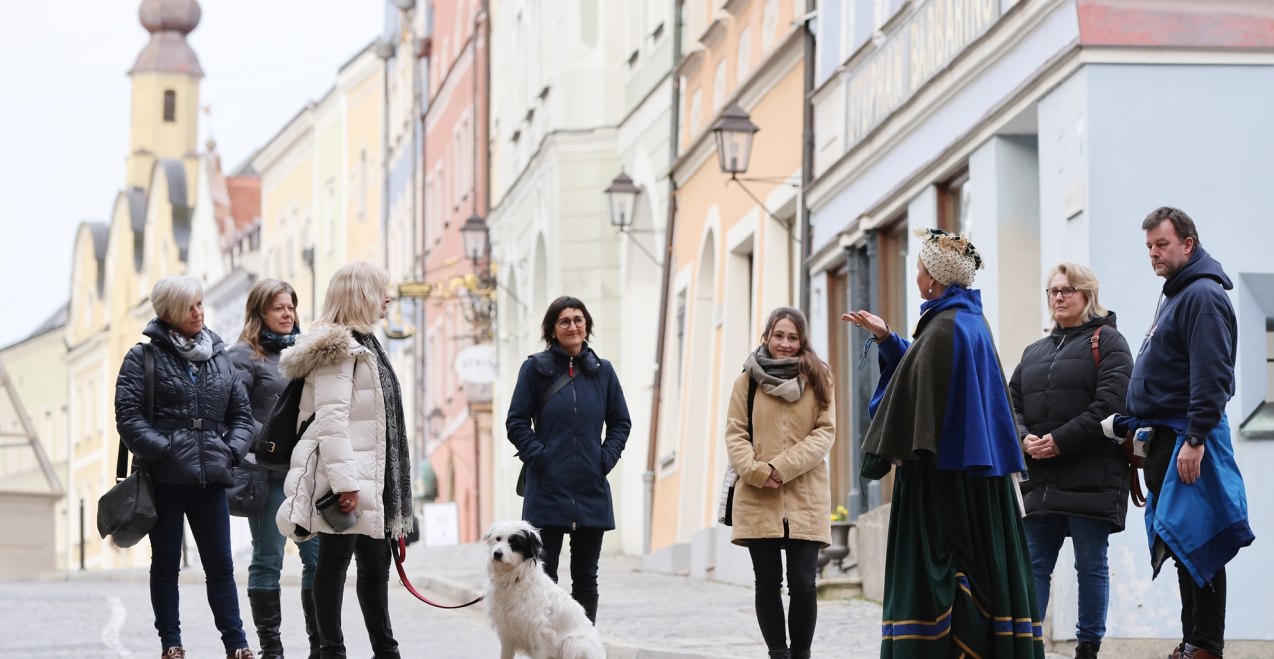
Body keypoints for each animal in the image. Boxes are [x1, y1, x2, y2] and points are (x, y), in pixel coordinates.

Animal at [484, 520, 608, 657]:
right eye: (498, 538)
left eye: (515, 542)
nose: (497, 554)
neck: (515, 579)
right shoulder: (507, 634)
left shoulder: (539, 635)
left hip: (572, 643)